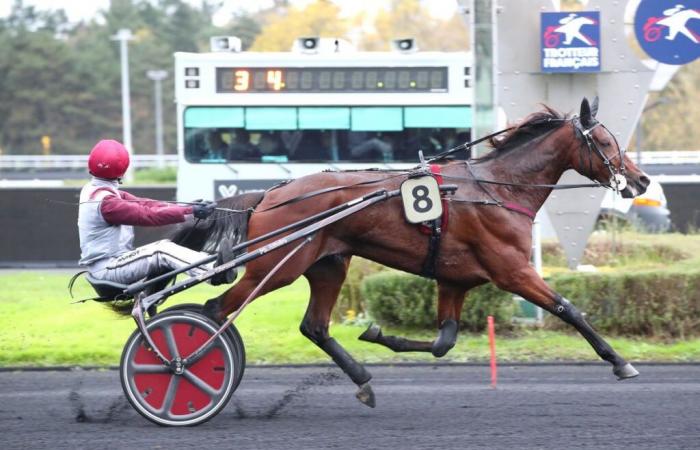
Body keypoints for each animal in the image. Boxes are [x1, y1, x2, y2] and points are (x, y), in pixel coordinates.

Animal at [170, 98, 652, 408]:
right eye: (605, 142)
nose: (641, 180)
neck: (498, 189)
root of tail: (270, 194)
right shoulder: (513, 271)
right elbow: (569, 308)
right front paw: (620, 362)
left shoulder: (454, 280)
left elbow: (443, 341)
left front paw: (377, 334)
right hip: (274, 268)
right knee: (214, 312)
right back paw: (188, 366)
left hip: (328, 265)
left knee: (315, 326)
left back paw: (364, 382)